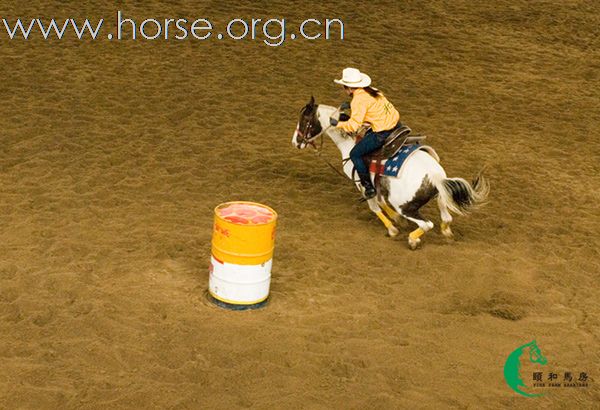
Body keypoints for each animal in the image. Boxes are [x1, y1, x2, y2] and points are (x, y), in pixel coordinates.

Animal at [292, 97, 490, 250]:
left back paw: (412, 240)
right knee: (446, 218)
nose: (295, 142)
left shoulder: (362, 182)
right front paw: (395, 219)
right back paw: (446, 232)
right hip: (440, 196)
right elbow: (380, 201)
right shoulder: (376, 183)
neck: (350, 141)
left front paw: (393, 229)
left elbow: (375, 206)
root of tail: (436, 178)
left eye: (304, 121)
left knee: (427, 224)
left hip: (403, 205)